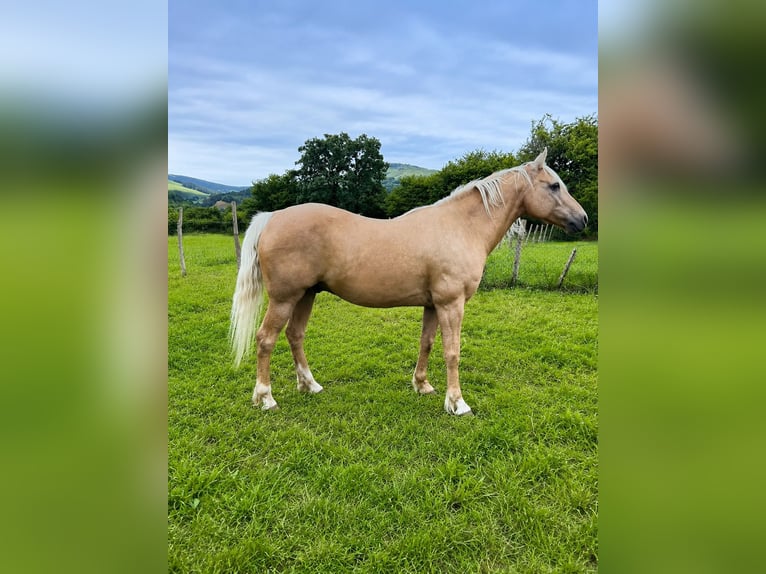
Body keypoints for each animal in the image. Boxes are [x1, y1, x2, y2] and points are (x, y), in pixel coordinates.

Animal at [230, 148, 587, 415]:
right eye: (554, 186)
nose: (582, 220)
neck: (461, 227)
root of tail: (272, 217)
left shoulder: (433, 304)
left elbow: (426, 343)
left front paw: (423, 385)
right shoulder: (451, 304)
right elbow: (452, 351)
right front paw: (457, 403)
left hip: (306, 294)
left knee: (295, 336)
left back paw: (310, 385)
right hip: (284, 298)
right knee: (266, 339)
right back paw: (266, 398)